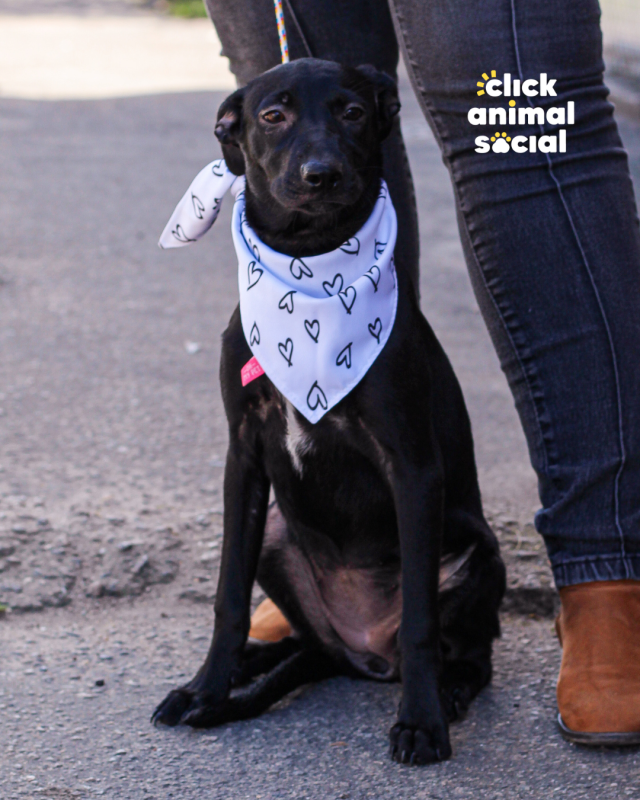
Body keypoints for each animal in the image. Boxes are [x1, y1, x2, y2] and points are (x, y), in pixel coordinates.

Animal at [151, 57, 504, 764]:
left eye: (353, 112)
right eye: (272, 115)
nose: (322, 174)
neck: (309, 267)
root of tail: (359, 652)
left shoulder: (413, 467)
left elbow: (421, 619)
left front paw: (421, 721)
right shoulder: (243, 456)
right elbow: (227, 596)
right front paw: (207, 685)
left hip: (479, 556)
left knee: (471, 654)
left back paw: (448, 690)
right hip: (275, 536)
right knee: (298, 639)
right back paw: (247, 668)